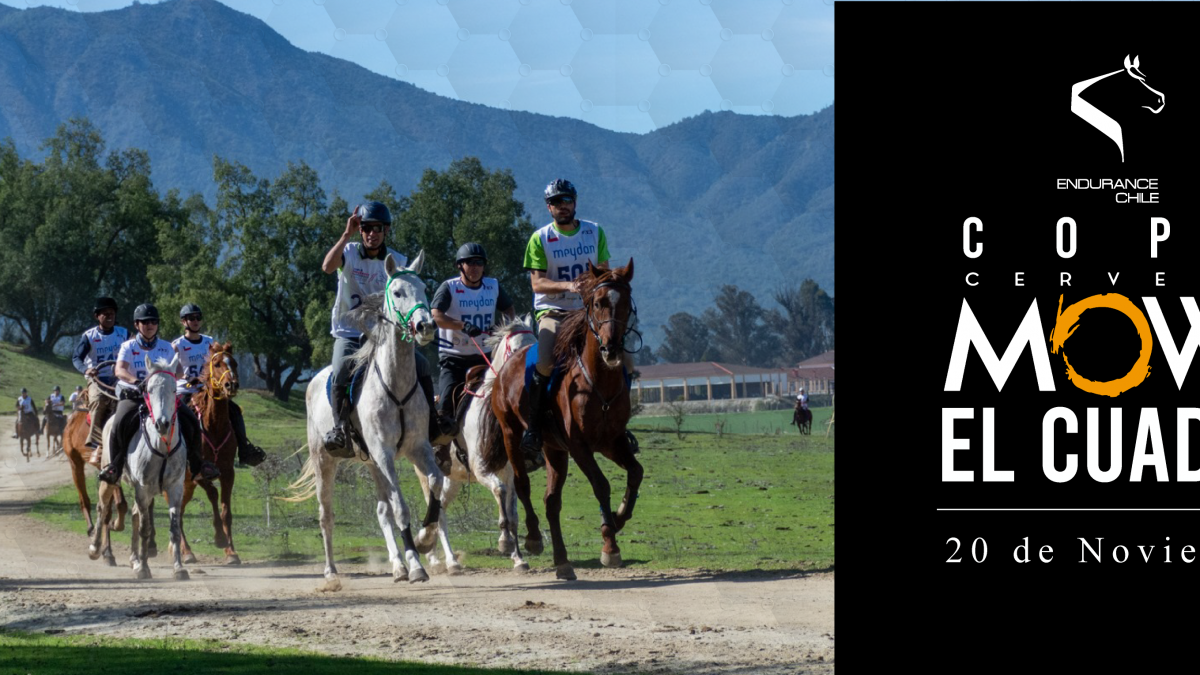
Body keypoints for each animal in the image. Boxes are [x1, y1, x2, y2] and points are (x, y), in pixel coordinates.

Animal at [88, 353, 188, 578]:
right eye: (148, 390)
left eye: (174, 389)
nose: (162, 424)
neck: (162, 446)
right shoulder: (143, 487)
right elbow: (144, 529)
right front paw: (143, 568)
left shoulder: (175, 487)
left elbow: (174, 529)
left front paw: (178, 568)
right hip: (111, 479)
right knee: (103, 508)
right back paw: (96, 549)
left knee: (133, 514)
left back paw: (134, 558)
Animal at [175, 338, 243, 564]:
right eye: (217, 363)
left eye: (234, 363)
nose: (231, 385)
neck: (213, 425)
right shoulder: (198, 473)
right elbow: (213, 494)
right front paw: (219, 538)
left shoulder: (228, 472)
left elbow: (226, 511)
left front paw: (231, 552)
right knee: (176, 512)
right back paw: (186, 553)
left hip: (186, 485)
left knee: (179, 511)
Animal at [290, 249, 453, 586]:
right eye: (397, 292)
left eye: (424, 289)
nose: (426, 326)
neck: (396, 382)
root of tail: (313, 381)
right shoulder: (384, 452)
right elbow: (401, 508)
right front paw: (417, 565)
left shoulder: (418, 448)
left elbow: (435, 483)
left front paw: (425, 539)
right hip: (327, 461)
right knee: (326, 515)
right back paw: (331, 571)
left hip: (372, 463)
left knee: (382, 510)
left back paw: (398, 566)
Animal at [417, 312, 540, 569]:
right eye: (515, 350)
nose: (530, 382)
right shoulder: (481, 468)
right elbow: (499, 491)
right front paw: (505, 542)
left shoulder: (510, 470)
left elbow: (513, 512)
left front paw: (519, 558)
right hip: (427, 475)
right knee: (437, 515)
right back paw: (449, 561)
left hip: (452, 479)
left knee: (440, 508)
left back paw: (434, 555)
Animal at [480, 257, 643, 578]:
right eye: (597, 303)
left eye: (626, 303)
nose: (611, 348)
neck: (599, 381)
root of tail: (505, 367)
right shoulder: (580, 447)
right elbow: (601, 484)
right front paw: (610, 547)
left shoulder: (612, 442)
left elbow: (636, 472)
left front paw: (618, 517)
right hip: (512, 435)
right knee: (522, 485)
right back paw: (532, 539)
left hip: (554, 449)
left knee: (551, 501)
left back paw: (563, 561)